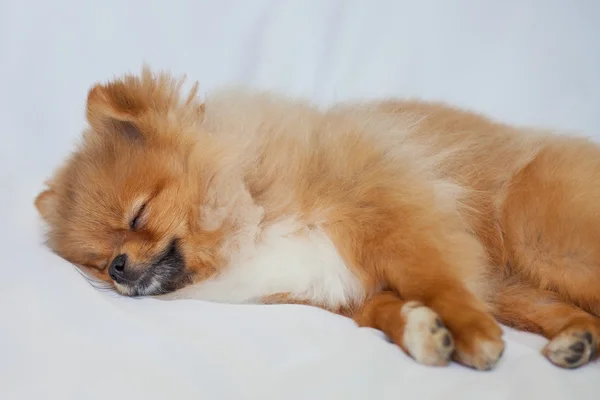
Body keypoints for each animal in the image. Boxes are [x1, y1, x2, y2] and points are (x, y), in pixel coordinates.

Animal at [36, 67, 600, 370]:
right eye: (98, 260)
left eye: (138, 214)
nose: (118, 268)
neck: (252, 211)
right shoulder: (338, 285)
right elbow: (386, 311)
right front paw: (424, 332)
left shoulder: (394, 216)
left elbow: (434, 279)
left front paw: (469, 333)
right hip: (518, 286)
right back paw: (576, 342)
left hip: (541, 238)